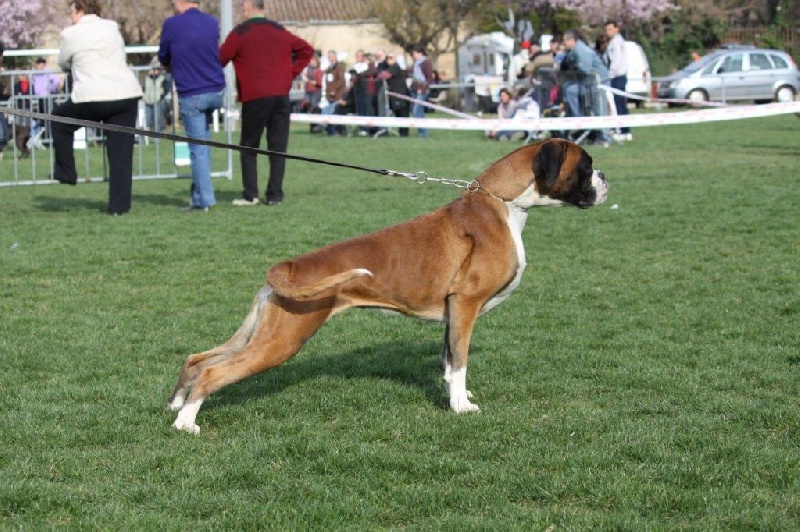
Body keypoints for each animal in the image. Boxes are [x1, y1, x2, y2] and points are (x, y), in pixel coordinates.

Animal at [167, 138, 608, 432]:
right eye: (585, 166)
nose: (605, 178)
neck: (501, 203)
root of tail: (287, 266)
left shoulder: (452, 312)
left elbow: (448, 359)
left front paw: (456, 396)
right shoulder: (465, 305)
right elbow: (461, 361)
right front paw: (461, 408)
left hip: (260, 332)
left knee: (198, 359)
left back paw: (175, 404)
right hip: (283, 340)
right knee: (214, 372)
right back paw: (187, 423)